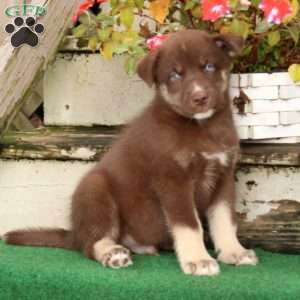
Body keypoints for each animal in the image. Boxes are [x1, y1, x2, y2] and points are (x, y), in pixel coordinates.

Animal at [4, 30, 258, 276]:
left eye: (209, 66)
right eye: (174, 75)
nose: (200, 98)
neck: (202, 127)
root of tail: (74, 233)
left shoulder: (224, 175)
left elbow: (224, 219)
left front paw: (234, 252)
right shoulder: (173, 180)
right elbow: (189, 224)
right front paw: (199, 260)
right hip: (95, 189)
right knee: (92, 242)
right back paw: (112, 253)